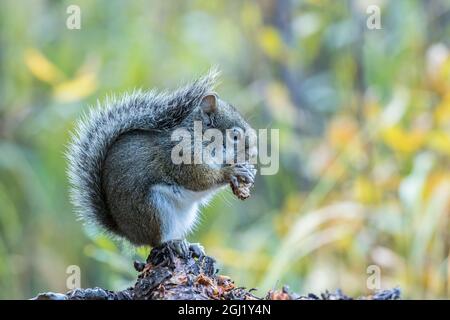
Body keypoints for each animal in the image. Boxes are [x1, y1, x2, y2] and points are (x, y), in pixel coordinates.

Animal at [66, 69, 256, 255]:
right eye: (235, 135)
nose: (254, 151)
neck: (200, 137)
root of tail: (128, 233)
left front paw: (248, 171)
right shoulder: (181, 154)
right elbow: (199, 179)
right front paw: (231, 172)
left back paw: (191, 245)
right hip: (154, 210)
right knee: (156, 242)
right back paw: (174, 244)